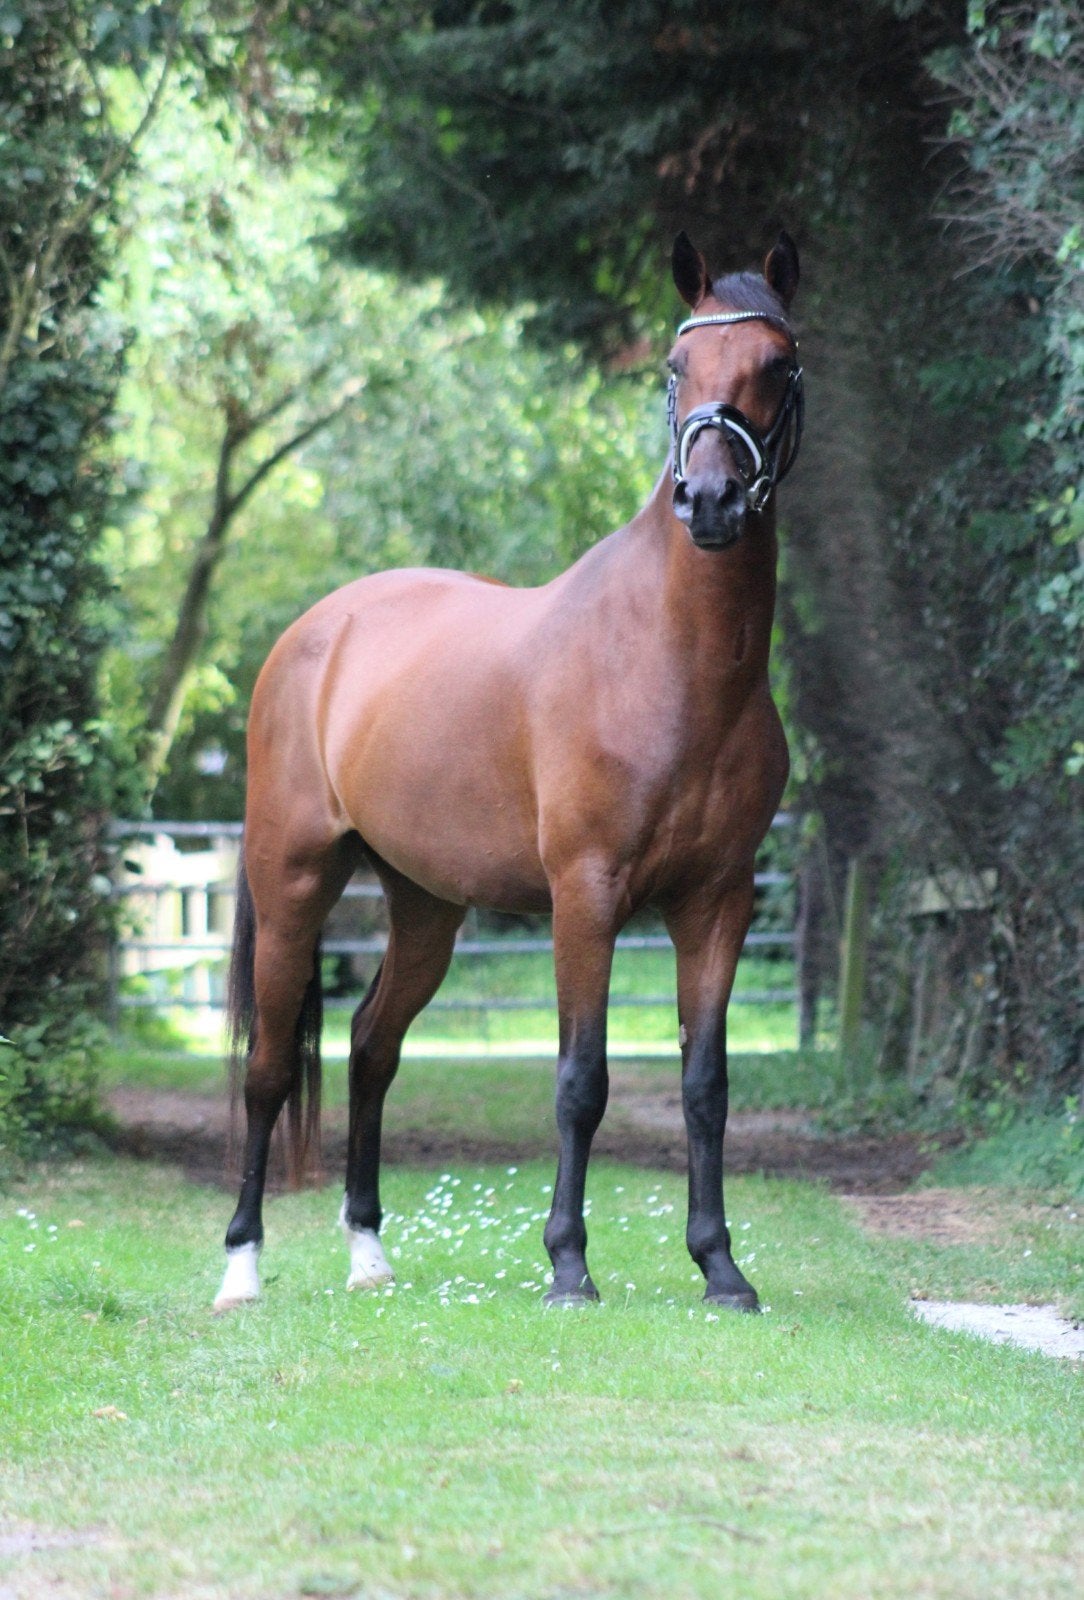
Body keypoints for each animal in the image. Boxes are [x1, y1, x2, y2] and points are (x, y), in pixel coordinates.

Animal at [214, 229, 804, 1314]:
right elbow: (581, 1079)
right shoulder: (586, 893)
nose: (708, 500)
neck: (675, 664)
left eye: (776, 365)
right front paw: (568, 1264)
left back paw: (368, 1253)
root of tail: (316, 631)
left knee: (371, 1047)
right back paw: (241, 1268)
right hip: (292, 885)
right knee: (270, 1067)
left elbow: (707, 1083)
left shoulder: (718, 902)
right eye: (676, 365)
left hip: (425, 906)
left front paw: (720, 1267)